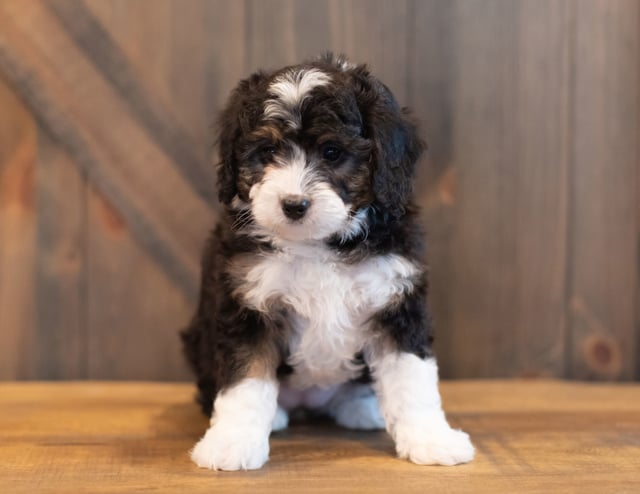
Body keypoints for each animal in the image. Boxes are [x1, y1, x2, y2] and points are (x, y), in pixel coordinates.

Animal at [180, 54, 476, 470]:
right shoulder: (248, 304)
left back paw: (361, 408)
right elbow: (244, 380)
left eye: (332, 152)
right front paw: (231, 443)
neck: (318, 243)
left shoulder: (397, 300)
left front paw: (432, 440)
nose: (294, 204)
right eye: (267, 152)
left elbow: (411, 375)